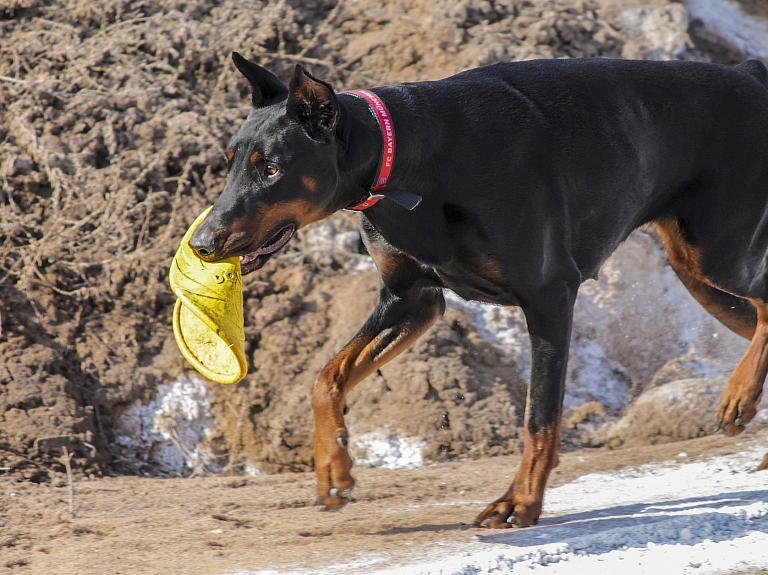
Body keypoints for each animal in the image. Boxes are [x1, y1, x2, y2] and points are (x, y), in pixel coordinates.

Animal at [189, 51, 768, 528]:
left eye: (272, 168)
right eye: (230, 161)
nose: (201, 242)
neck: (408, 163)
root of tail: (750, 74)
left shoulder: (550, 296)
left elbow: (539, 419)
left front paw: (520, 504)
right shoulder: (411, 299)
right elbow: (325, 378)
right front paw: (334, 472)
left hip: (718, 256)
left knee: (764, 302)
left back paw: (738, 395)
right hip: (699, 275)